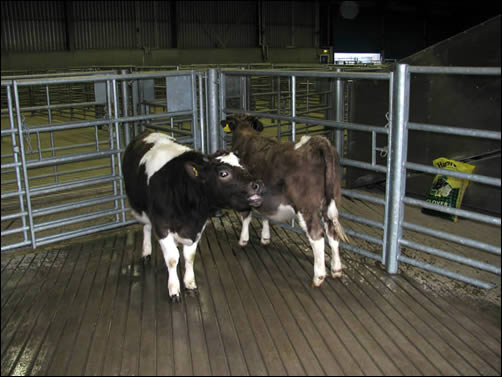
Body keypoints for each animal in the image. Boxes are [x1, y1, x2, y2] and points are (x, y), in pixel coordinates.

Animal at [122, 131, 262, 302]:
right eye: (223, 173)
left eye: (243, 165)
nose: (257, 184)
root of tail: (147, 132)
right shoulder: (162, 226)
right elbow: (172, 259)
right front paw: (174, 289)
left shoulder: (197, 228)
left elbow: (190, 257)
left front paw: (190, 283)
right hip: (140, 208)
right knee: (146, 227)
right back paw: (146, 251)